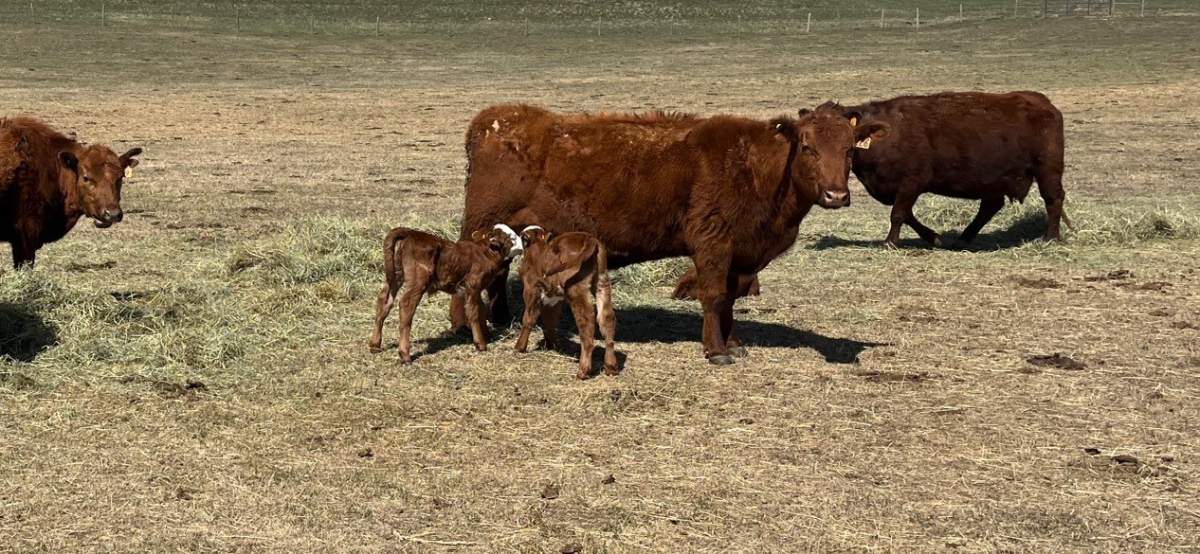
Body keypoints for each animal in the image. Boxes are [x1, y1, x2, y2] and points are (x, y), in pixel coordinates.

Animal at [368, 225, 515, 363]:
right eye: (508, 237)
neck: (485, 252)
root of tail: (410, 232)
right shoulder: (472, 285)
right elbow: (473, 312)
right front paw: (480, 344)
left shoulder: (476, 290)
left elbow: (481, 310)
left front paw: (486, 336)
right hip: (418, 279)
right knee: (406, 304)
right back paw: (405, 355)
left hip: (396, 275)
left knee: (384, 300)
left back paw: (375, 345)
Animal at [513, 227, 618, 379]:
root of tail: (590, 238)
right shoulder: (554, 298)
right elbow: (550, 320)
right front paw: (550, 345)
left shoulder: (531, 289)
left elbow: (528, 318)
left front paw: (519, 347)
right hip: (602, 282)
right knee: (606, 317)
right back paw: (611, 367)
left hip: (575, 287)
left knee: (586, 322)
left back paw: (583, 371)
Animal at [844, 91, 1068, 247]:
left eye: (848, 144)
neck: (888, 132)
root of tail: (1044, 104)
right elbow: (906, 214)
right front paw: (934, 238)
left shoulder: (911, 183)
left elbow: (898, 213)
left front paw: (890, 242)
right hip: (994, 183)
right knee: (990, 207)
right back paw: (963, 239)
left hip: (1047, 171)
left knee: (1053, 199)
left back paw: (1051, 237)